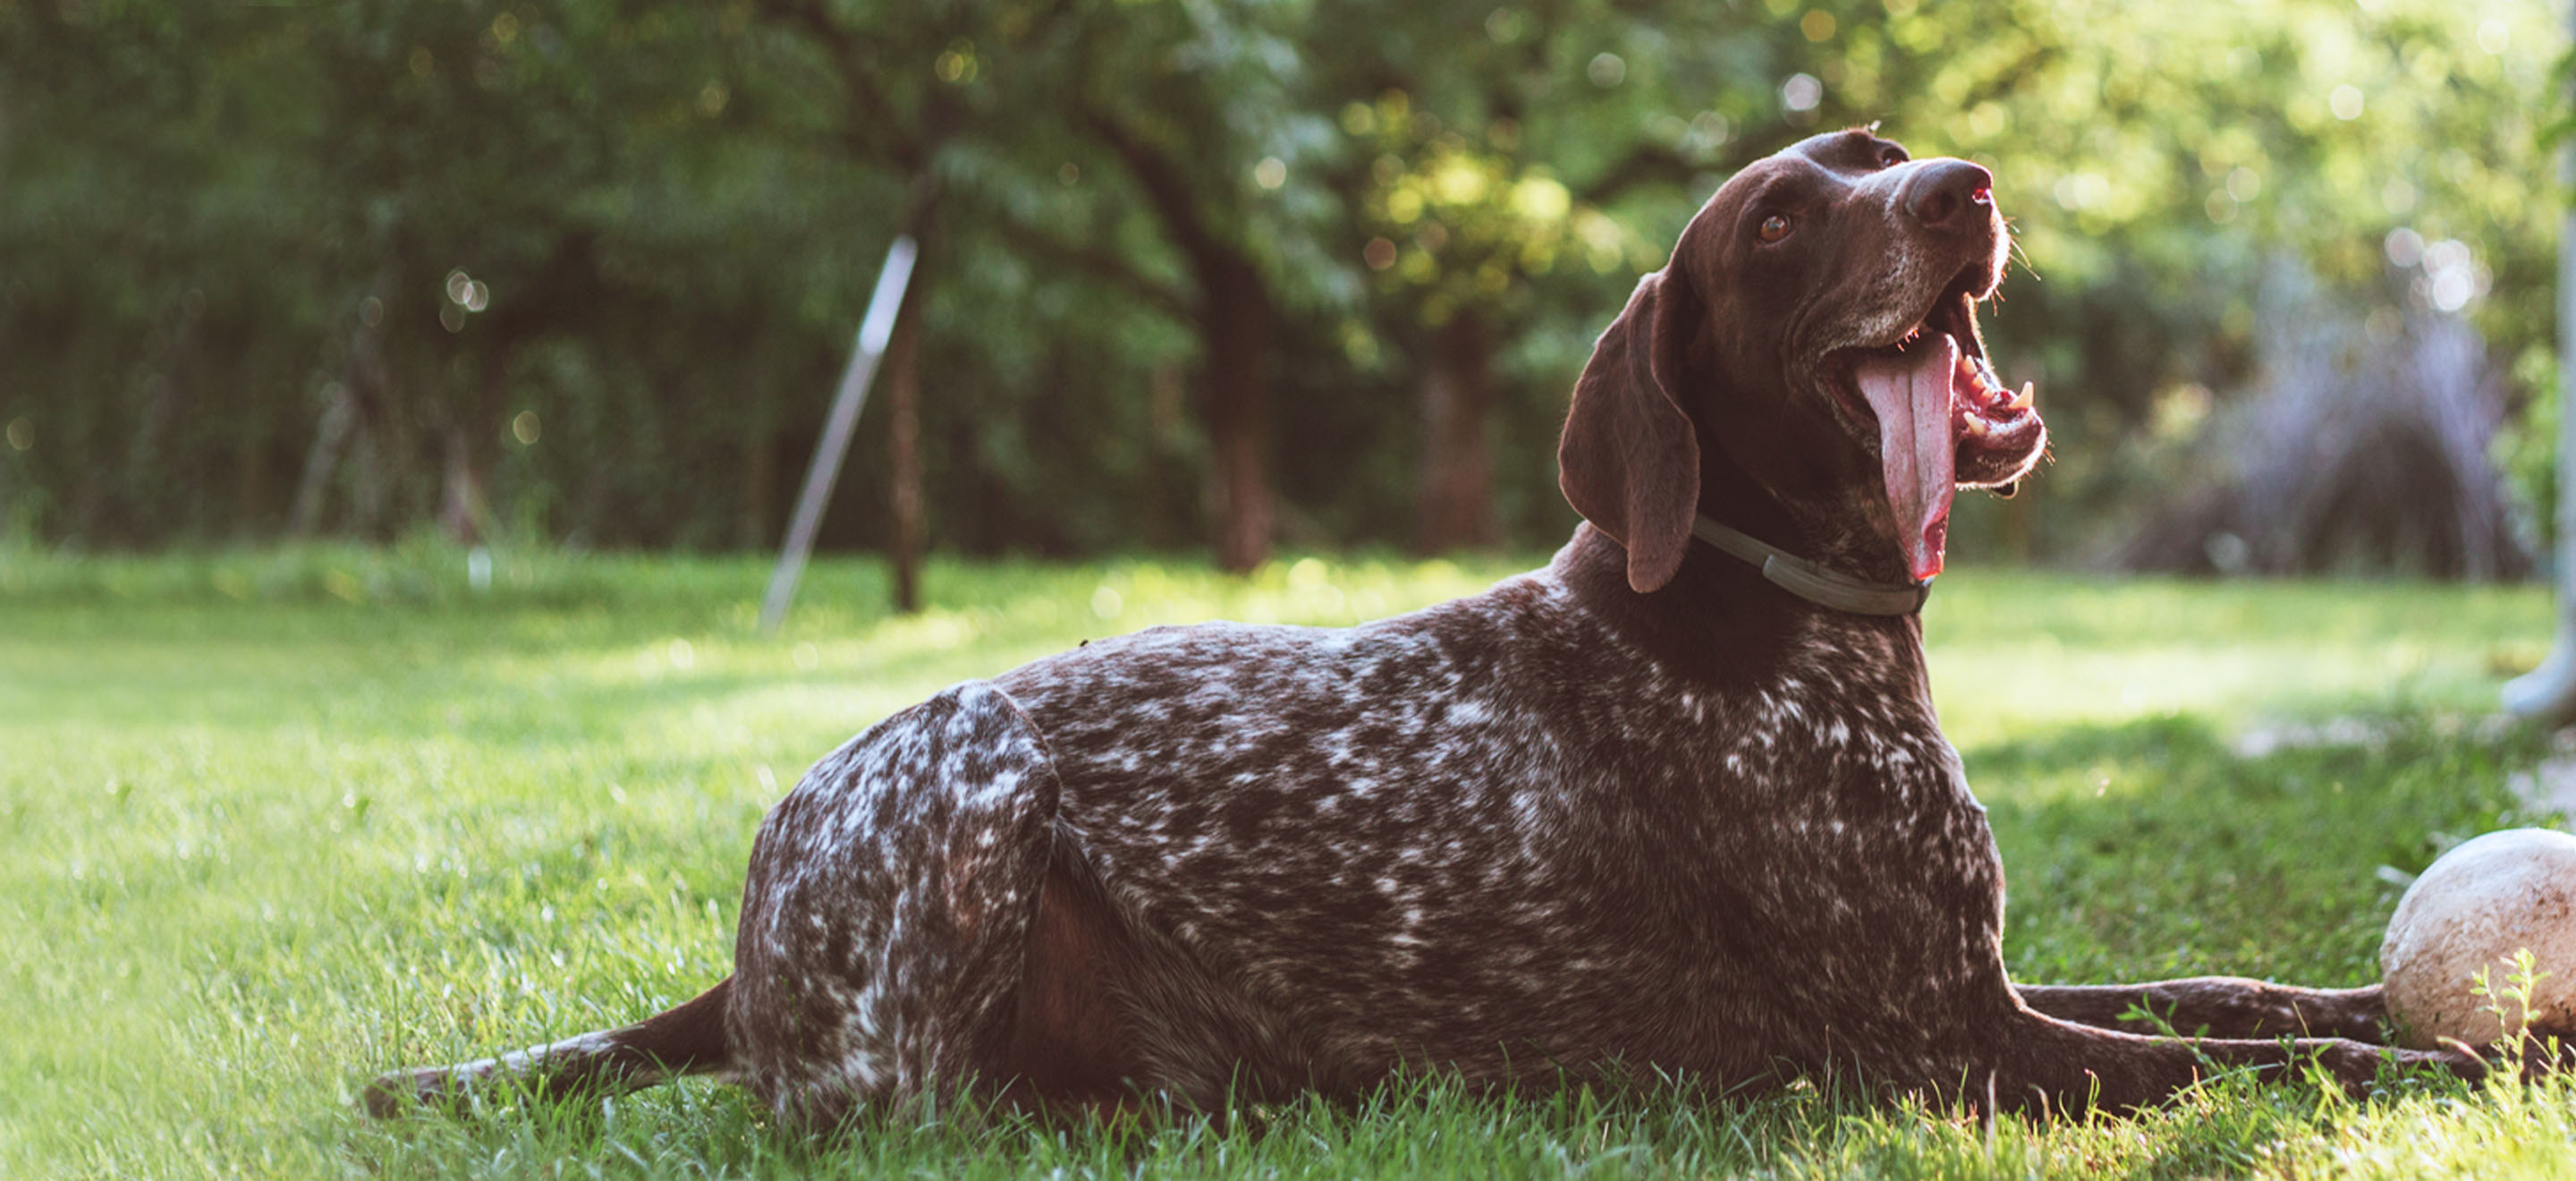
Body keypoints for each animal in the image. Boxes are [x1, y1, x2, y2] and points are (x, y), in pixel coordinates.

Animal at [363, 129, 2472, 1124]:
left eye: (1878, 151)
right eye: (1782, 224)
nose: (1962, 188)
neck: (1782, 614)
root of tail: (747, 920)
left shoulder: (1991, 988)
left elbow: (2240, 998)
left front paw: (2400, 1012)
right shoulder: (1944, 1042)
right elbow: (2231, 1063)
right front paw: (2444, 1074)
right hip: (967, 785)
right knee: (884, 1120)